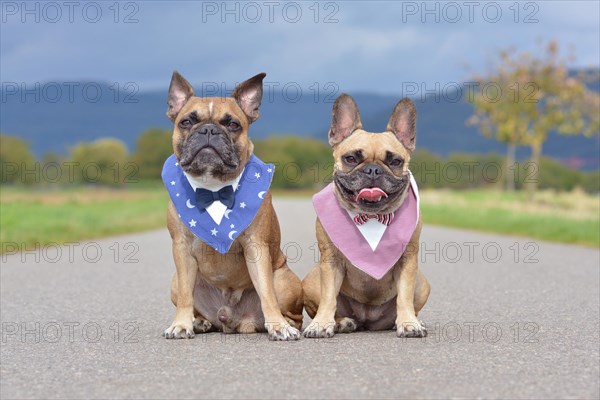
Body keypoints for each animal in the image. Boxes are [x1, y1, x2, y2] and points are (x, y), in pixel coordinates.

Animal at [162, 72, 302, 340]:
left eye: (233, 125)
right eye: (186, 122)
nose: (208, 129)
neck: (213, 189)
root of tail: (233, 320)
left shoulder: (256, 247)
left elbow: (266, 292)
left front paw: (278, 326)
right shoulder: (181, 248)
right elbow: (185, 295)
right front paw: (181, 324)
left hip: (284, 279)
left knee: (290, 310)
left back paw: (284, 323)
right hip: (174, 280)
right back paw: (199, 322)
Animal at [304, 94, 432, 338]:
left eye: (395, 161)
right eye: (351, 158)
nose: (373, 169)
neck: (371, 218)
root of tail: (367, 321)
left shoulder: (408, 260)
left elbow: (404, 296)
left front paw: (408, 323)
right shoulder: (330, 261)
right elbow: (328, 297)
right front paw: (320, 323)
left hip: (422, 284)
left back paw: (414, 321)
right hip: (312, 281)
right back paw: (342, 322)